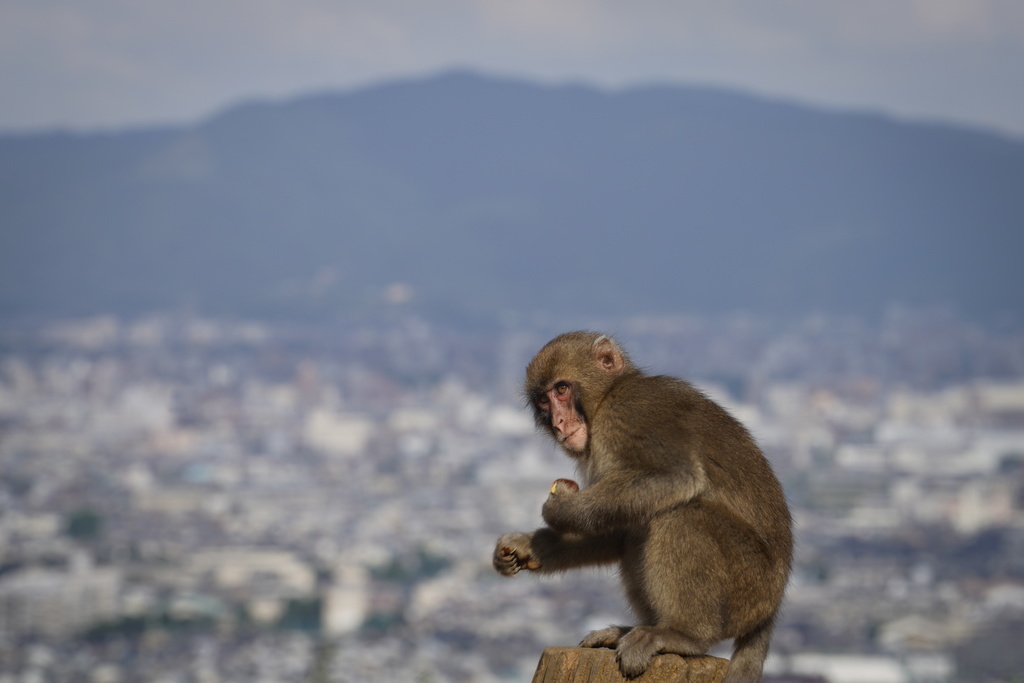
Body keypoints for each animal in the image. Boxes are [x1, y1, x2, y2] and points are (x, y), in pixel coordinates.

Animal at [493, 329, 790, 679]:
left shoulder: (630, 413)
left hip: (750, 587)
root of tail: (770, 610)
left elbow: (677, 477)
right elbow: (615, 533)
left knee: (679, 515)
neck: (607, 397)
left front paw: (560, 510)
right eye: (543, 400)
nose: (558, 422)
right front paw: (527, 546)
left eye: (562, 389)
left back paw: (683, 634)